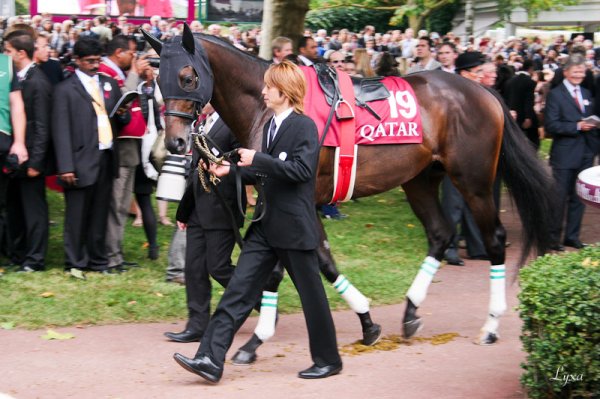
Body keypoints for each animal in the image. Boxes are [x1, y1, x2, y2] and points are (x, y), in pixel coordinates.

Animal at [143, 25, 556, 354]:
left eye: (188, 77)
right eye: (159, 81)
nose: (176, 142)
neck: (273, 106)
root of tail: (486, 92)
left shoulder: (297, 194)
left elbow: (290, 264)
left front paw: (259, 336)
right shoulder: (292, 201)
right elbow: (321, 260)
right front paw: (367, 321)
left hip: (474, 180)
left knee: (495, 239)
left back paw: (490, 324)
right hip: (420, 178)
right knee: (440, 233)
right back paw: (410, 311)